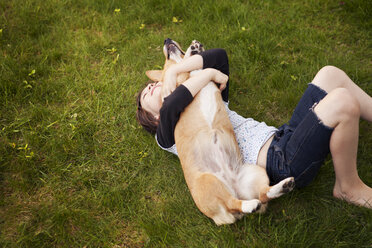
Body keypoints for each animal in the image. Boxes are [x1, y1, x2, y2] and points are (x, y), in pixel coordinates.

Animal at [145, 38, 294, 225]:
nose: (167, 39)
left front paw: (196, 50)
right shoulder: (176, 87)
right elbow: (187, 67)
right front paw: (192, 51)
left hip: (255, 173)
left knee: (262, 195)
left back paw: (282, 187)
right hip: (210, 181)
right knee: (234, 202)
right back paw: (251, 204)